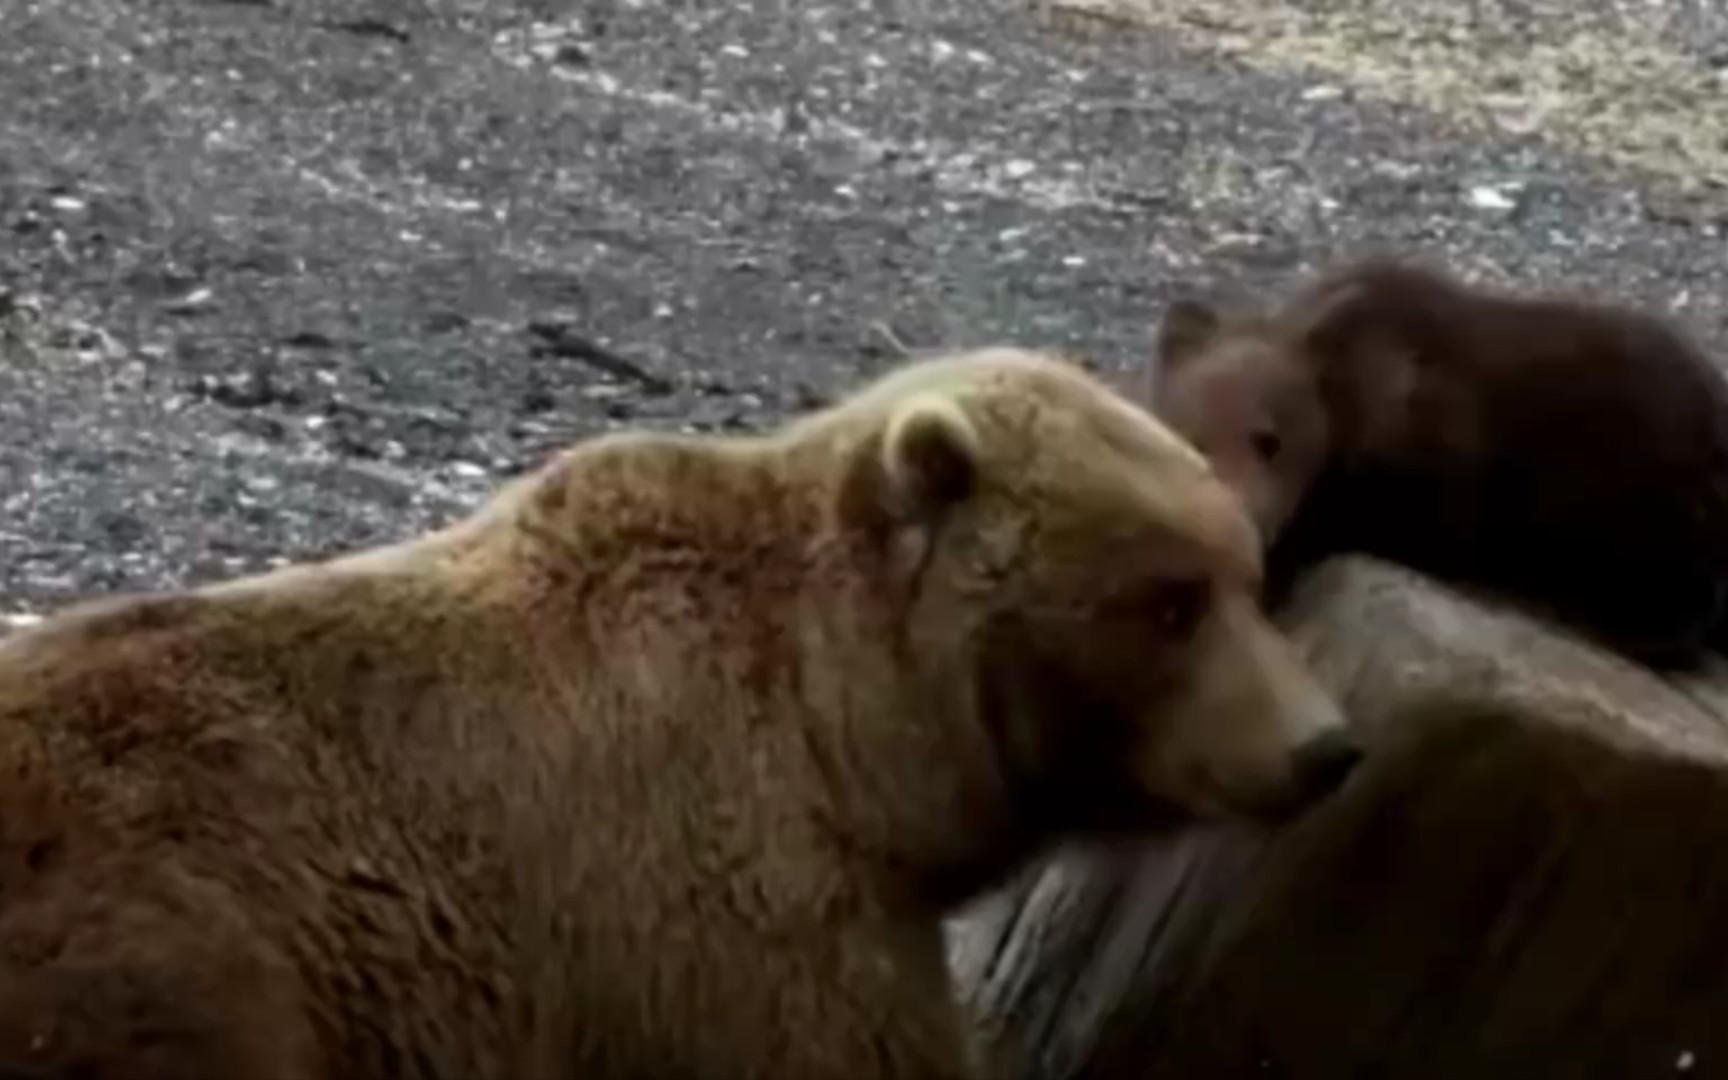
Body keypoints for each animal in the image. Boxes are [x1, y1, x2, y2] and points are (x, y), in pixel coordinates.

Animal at [0, 347, 1354, 1078]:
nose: (1323, 745)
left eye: (1247, 573)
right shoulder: (735, 916)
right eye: (1171, 601)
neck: (848, 737)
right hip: (177, 970)